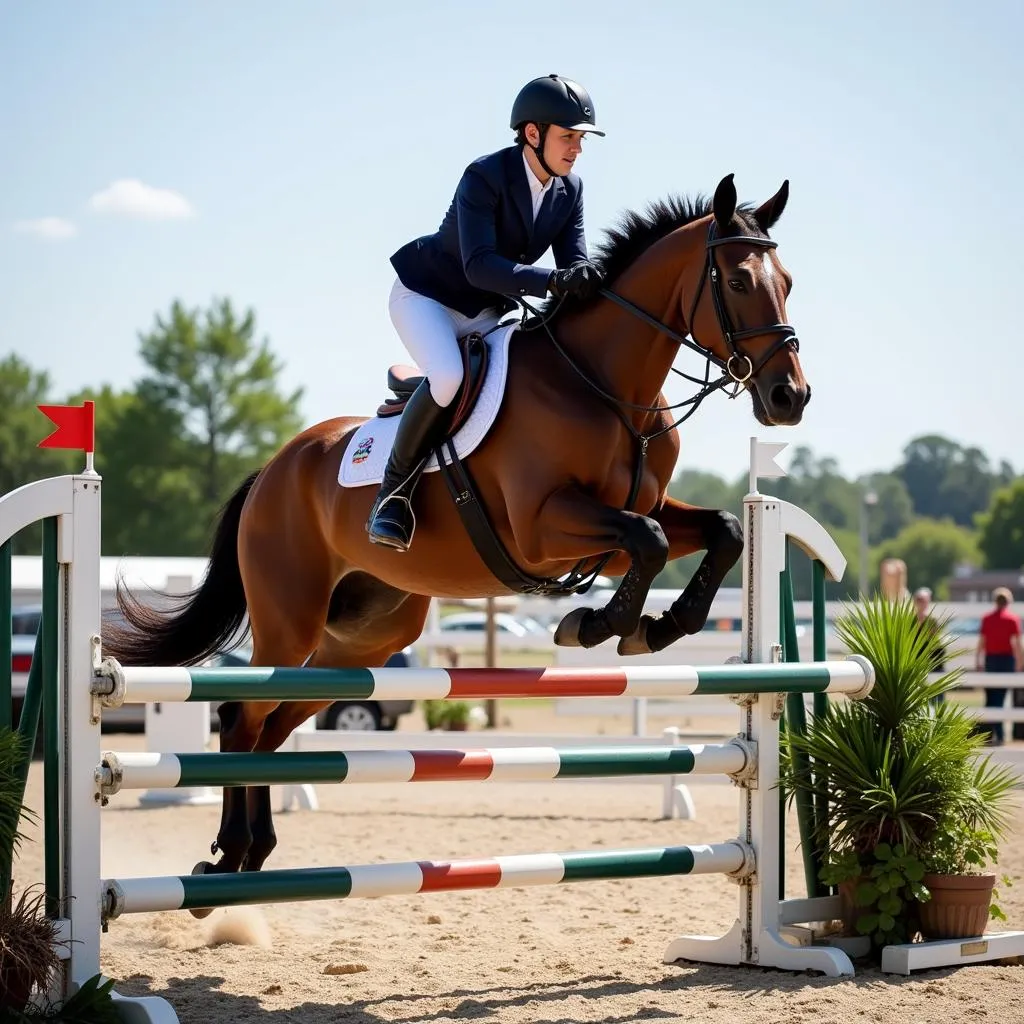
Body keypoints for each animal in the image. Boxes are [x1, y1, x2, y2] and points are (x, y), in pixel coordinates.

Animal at [103, 169, 806, 897]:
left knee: (274, 725)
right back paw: (226, 857)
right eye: (738, 281)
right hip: (288, 619)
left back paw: (253, 852)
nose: (791, 398)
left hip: (363, 638)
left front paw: (658, 626)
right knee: (242, 718)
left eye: (787, 280)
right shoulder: (541, 528)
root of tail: (273, 468)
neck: (605, 387)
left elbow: (720, 529)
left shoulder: (633, 522)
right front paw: (599, 625)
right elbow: (648, 539)